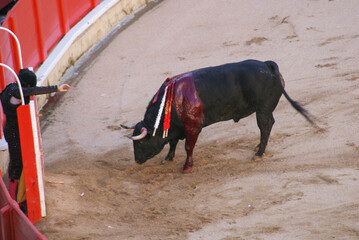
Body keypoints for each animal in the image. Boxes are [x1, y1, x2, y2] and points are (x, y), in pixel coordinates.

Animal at [122, 59, 316, 172]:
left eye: (140, 143)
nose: (137, 160)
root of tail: (266, 64)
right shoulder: (177, 128)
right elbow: (173, 142)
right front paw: (168, 158)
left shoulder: (193, 127)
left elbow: (188, 147)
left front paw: (186, 166)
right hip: (265, 110)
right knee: (270, 124)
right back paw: (258, 148)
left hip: (262, 110)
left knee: (265, 127)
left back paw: (259, 153)